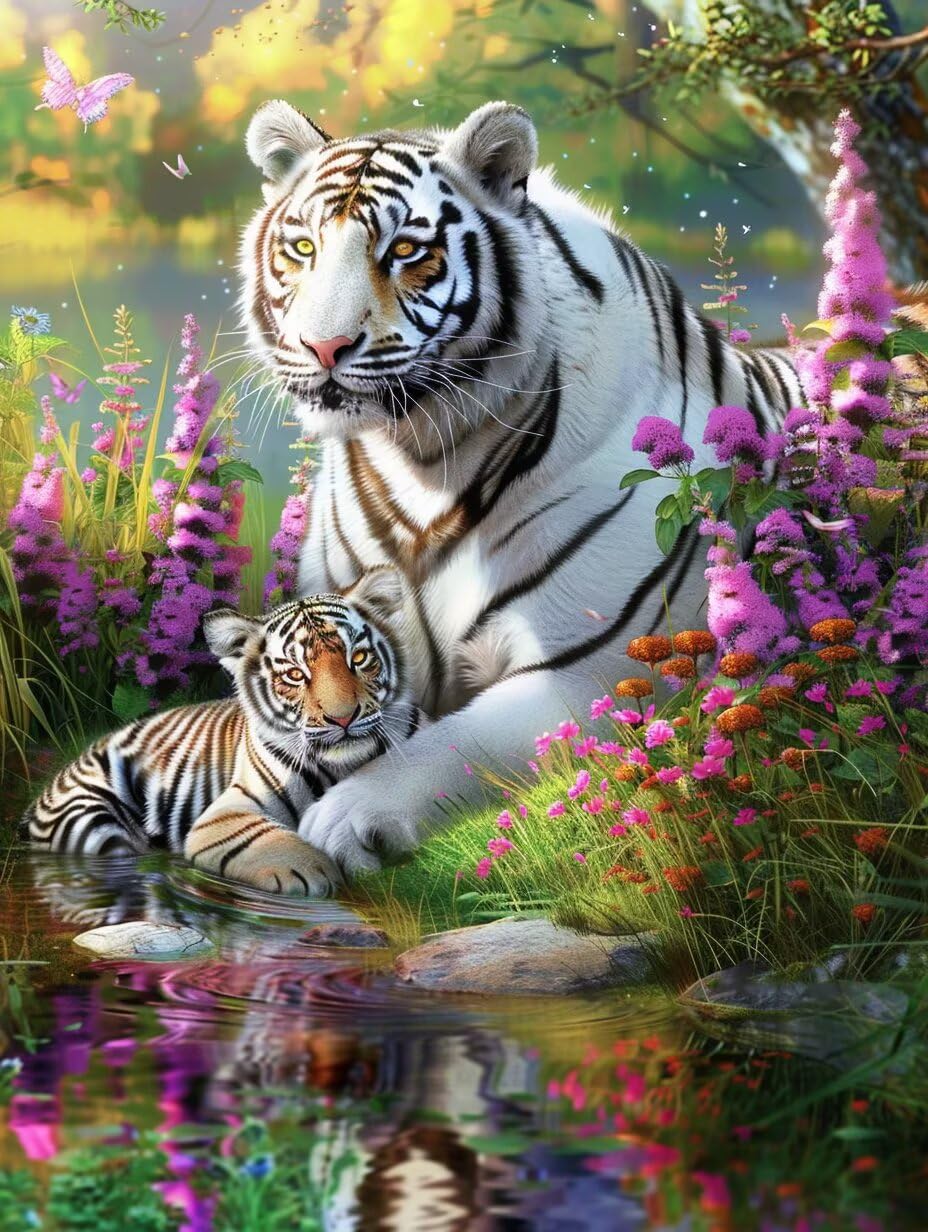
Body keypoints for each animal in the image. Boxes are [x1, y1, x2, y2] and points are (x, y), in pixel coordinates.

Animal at [23, 568, 419, 895]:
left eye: (359, 659)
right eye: (294, 674)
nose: (343, 719)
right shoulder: (226, 812)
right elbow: (263, 841)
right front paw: (316, 872)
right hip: (92, 820)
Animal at [239, 98, 804, 877]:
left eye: (404, 252)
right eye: (301, 249)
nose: (321, 347)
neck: (422, 459)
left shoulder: (589, 672)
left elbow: (452, 743)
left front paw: (347, 818)